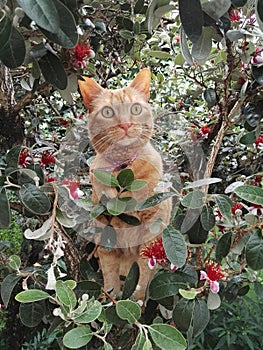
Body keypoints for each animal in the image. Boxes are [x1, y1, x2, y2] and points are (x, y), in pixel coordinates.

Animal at [78, 69, 172, 300]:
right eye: (108, 112)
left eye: (135, 108)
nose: (126, 125)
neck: (123, 173)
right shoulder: (107, 238)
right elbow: (111, 278)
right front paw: (109, 300)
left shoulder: (150, 236)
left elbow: (142, 280)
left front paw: (136, 302)